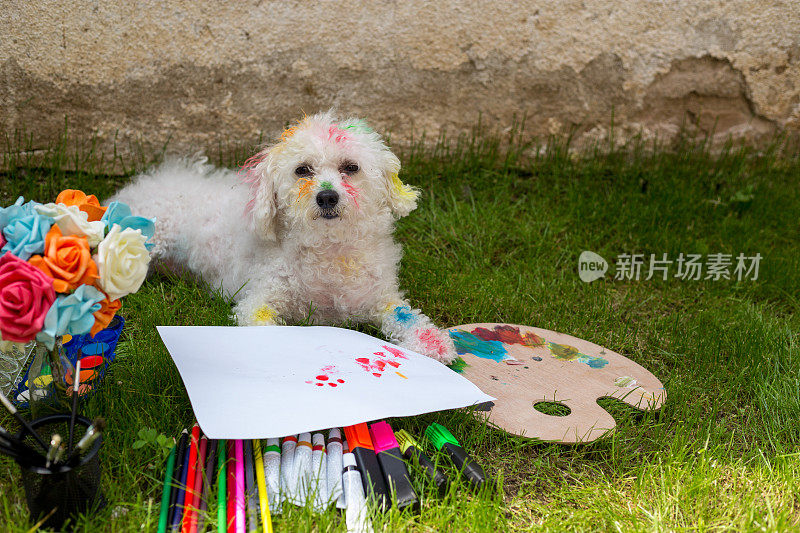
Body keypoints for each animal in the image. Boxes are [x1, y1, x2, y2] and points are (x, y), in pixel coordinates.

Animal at [115, 111, 460, 362]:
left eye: (351, 167)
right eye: (302, 170)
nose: (327, 197)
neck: (329, 254)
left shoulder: (380, 299)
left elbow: (408, 317)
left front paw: (436, 344)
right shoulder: (259, 300)